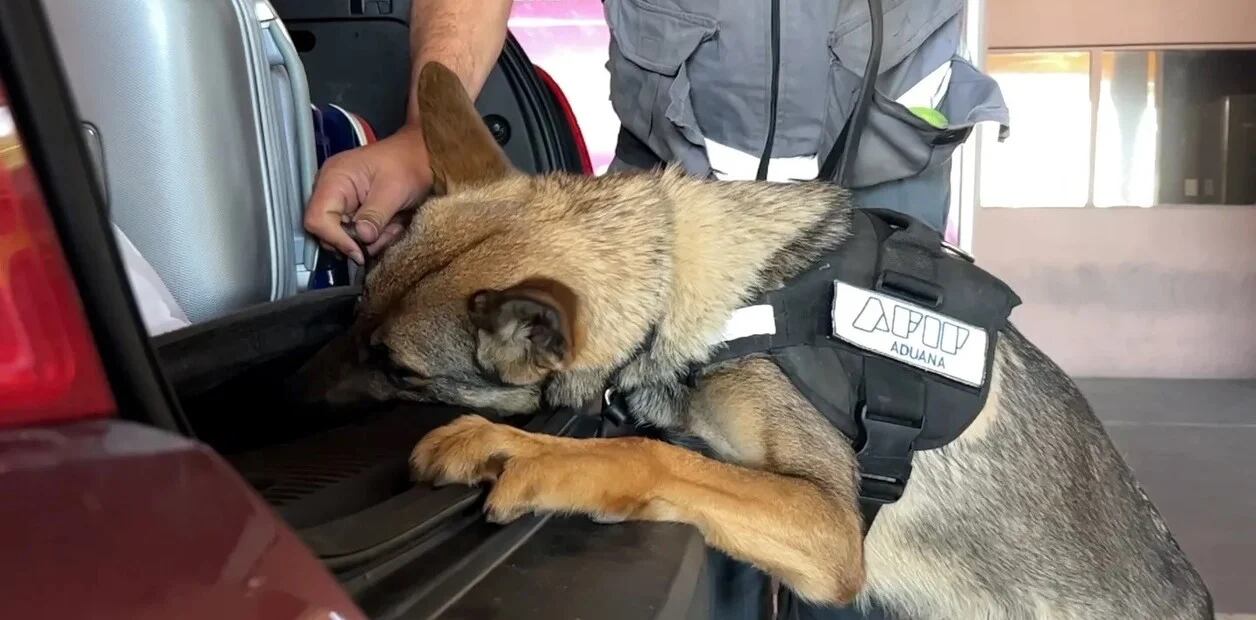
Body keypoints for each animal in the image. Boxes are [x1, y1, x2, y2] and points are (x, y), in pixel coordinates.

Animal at [298, 64, 1210, 620]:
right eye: (355, 314)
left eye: (396, 367)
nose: (288, 393)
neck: (700, 284)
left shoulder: (832, 529)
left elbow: (649, 455)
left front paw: (534, 457)